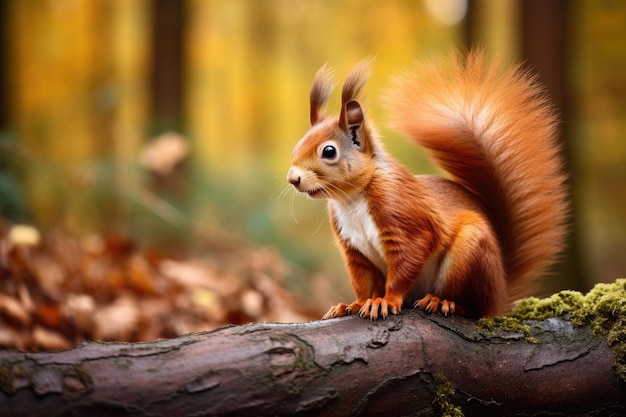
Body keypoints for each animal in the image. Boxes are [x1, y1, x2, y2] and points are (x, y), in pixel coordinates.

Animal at [286, 51, 564, 318]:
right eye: (296, 146)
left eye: (329, 151)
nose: (293, 178)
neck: (351, 199)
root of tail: (501, 291)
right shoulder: (354, 251)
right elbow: (362, 282)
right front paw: (353, 305)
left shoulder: (402, 213)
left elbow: (407, 261)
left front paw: (386, 301)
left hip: (469, 253)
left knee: (473, 308)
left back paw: (443, 302)